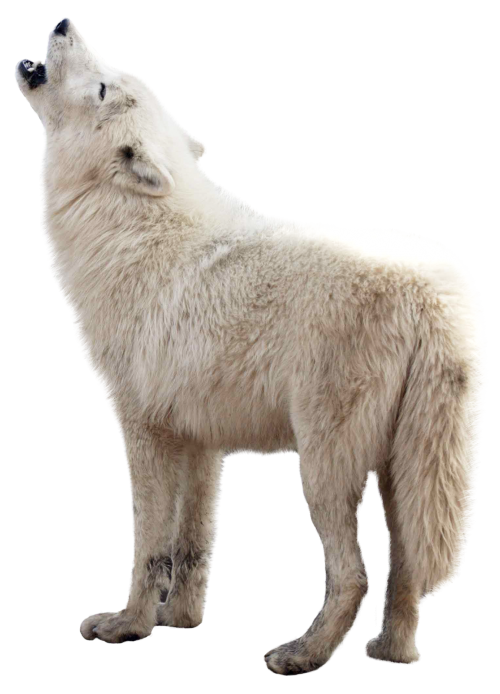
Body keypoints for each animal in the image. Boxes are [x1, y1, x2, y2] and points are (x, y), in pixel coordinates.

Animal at [15, 17, 487, 673]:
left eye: (106, 84)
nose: (64, 23)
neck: (130, 233)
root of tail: (437, 292)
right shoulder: (199, 444)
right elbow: (192, 548)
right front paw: (181, 622)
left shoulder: (143, 432)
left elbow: (148, 549)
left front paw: (127, 626)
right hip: (401, 471)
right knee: (407, 566)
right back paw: (391, 653)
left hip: (322, 467)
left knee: (355, 575)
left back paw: (301, 655)